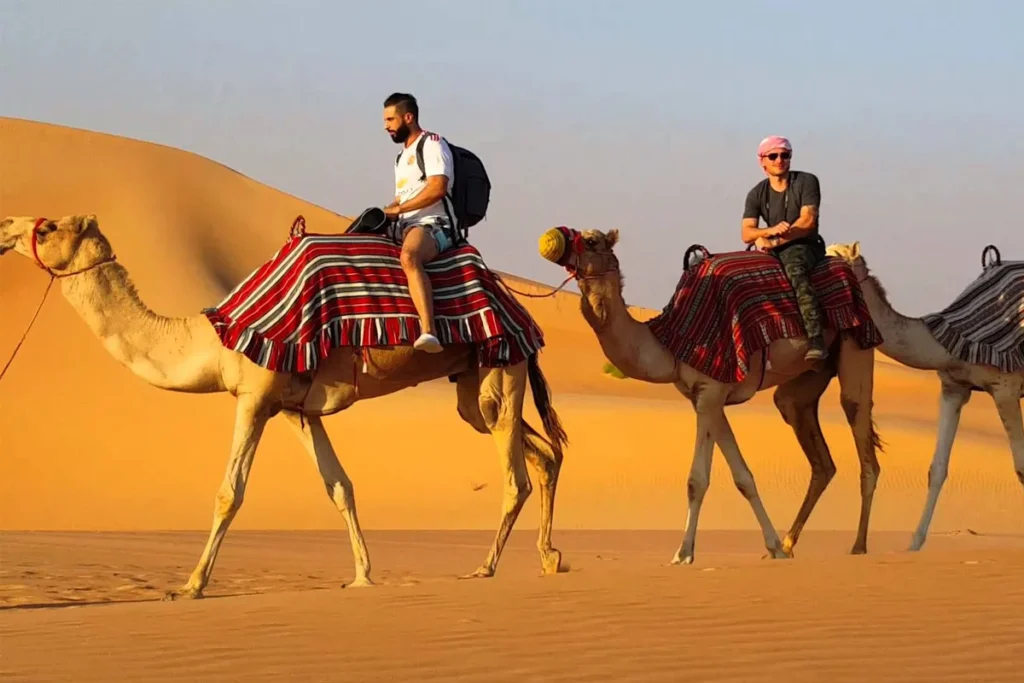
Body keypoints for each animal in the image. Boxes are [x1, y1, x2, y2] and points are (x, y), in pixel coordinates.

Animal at [0, 214, 569, 598]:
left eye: (49, 228)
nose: (7, 224)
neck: (216, 338)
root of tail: (514, 302)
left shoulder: (255, 395)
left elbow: (229, 492)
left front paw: (190, 584)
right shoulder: (298, 409)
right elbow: (340, 487)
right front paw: (362, 575)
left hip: (501, 367)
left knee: (516, 473)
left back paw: (486, 567)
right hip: (476, 382)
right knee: (542, 453)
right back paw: (549, 558)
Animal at [536, 227, 880, 565]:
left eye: (592, 240)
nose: (552, 241)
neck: (669, 343)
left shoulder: (710, 392)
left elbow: (696, 480)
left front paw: (683, 552)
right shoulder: (707, 398)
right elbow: (743, 476)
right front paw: (774, 547)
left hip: (856, 341)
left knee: (859, 423)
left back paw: (859, 546)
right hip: (808, 377)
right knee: (816, 447)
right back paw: (794, 542)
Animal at [827, 240, 1019, 548]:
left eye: (833, 257)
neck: (946, 341)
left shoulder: (1005, 387)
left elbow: (1021, 466)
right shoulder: (954, 388)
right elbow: (937, 469)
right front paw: (914, 544)